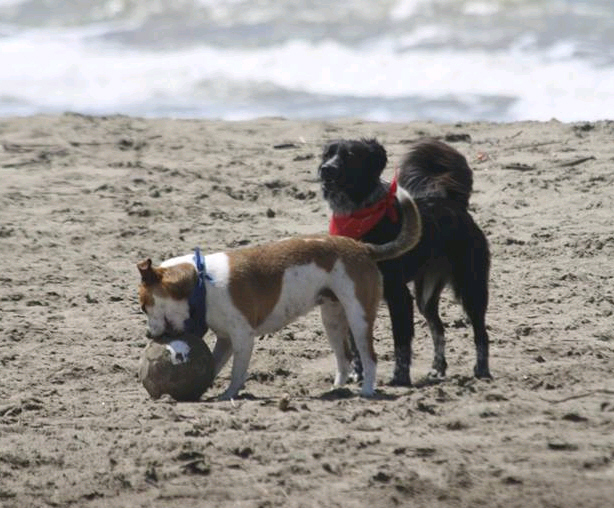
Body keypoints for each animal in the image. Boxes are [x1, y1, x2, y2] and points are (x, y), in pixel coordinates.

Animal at [137, 187, 422, 400]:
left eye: (143, 306)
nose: (148, 335)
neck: (201, 283)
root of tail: (364, 248)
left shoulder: (242, 339)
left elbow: (237, 373)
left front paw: (228, 394)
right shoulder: (226, 340)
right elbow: (214, 366)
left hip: (359, 318)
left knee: (369, 357)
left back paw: (367, 390)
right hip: (332, 319)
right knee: (345, 358)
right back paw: (337, 388)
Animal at [320, 139, 494, 384]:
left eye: (350, 155)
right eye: (327, 154)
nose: (326, 169)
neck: (359, 215)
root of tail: (453, 204)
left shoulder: (398, 294)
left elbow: (401, 342)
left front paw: (400, 378)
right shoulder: (352, 295)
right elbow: (356, 343)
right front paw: (358, 373)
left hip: (471, 286)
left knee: (481, 332)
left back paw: (482, 370)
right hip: (426, 295)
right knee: (439, 329)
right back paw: (437, 368)